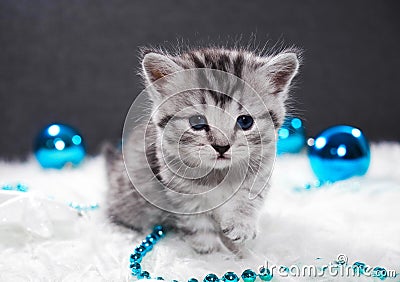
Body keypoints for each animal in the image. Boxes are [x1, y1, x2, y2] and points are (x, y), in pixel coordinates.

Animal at [104, 45, 298, 253]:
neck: (218, 175)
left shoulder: (261, 171)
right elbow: (201, 229)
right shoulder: (182, 197)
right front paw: (216, 255)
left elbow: (248, 198)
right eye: (197, 122)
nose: (221, 146)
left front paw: (241, 230)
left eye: (245, 121)